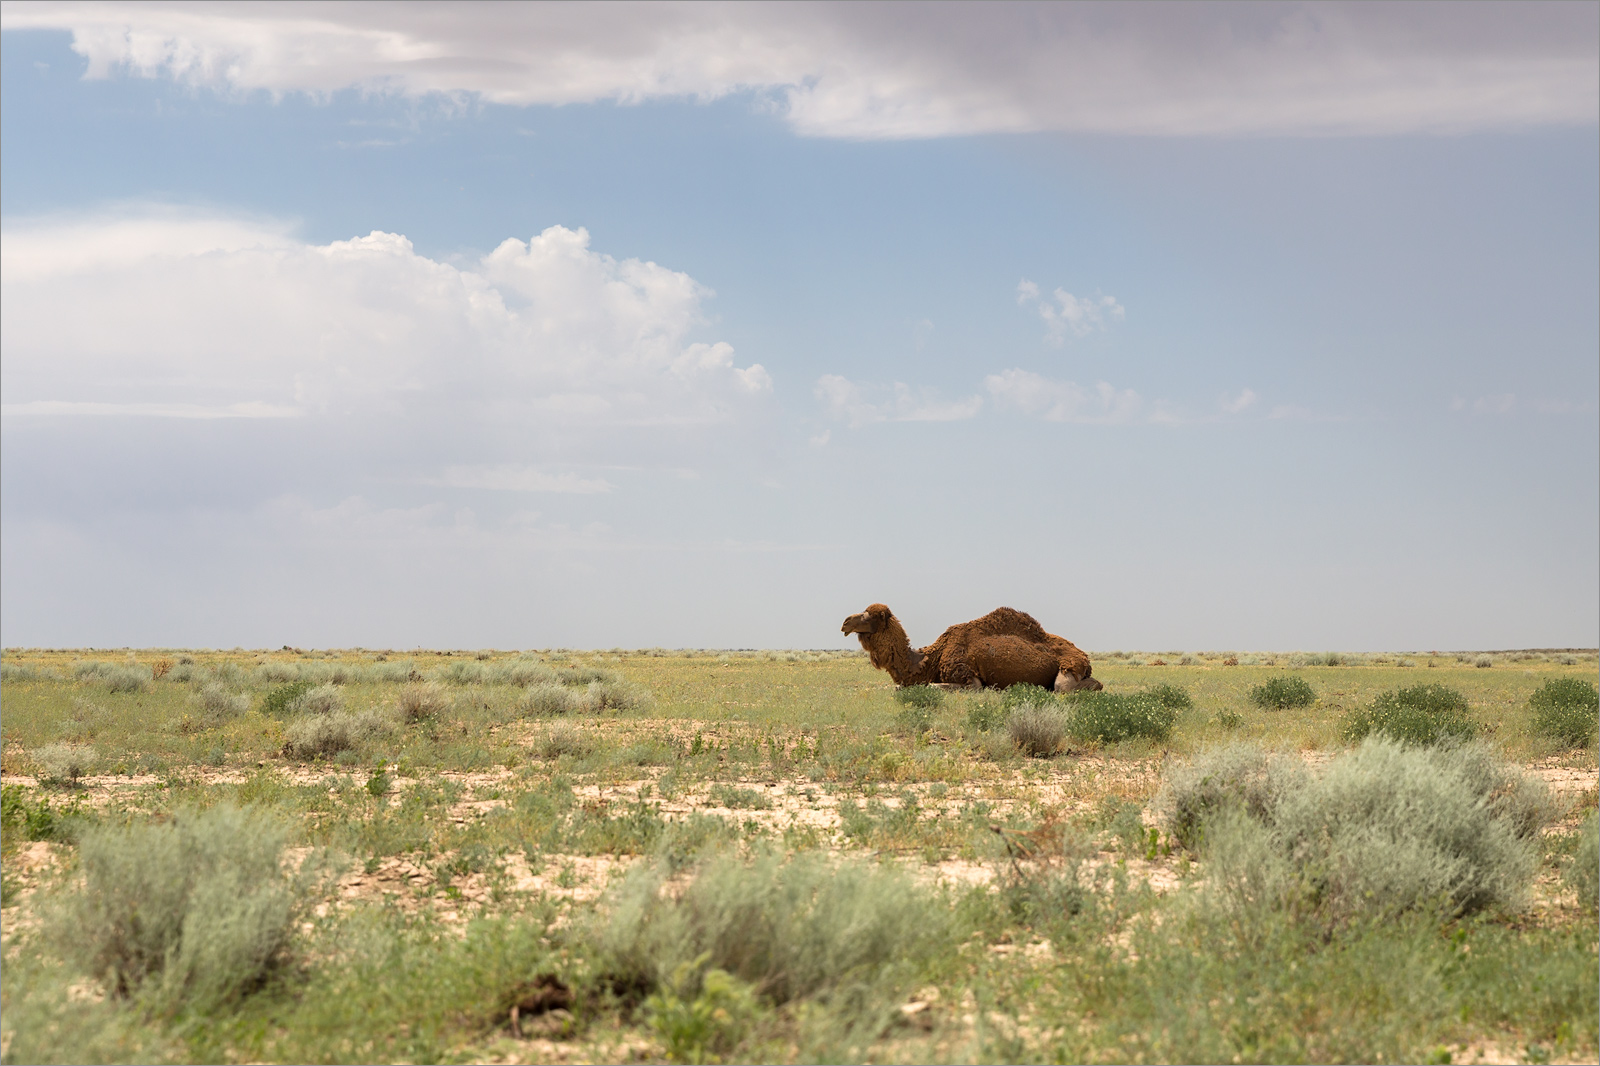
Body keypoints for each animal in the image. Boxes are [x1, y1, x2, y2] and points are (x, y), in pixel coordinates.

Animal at [838, 605, 1100, 688]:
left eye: (869, 616)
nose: (845, 622)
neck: (927, 660)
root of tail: (1084, 656)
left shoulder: (966, 676)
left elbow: (933, 687)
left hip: (1070, 667)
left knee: (1068, 687)